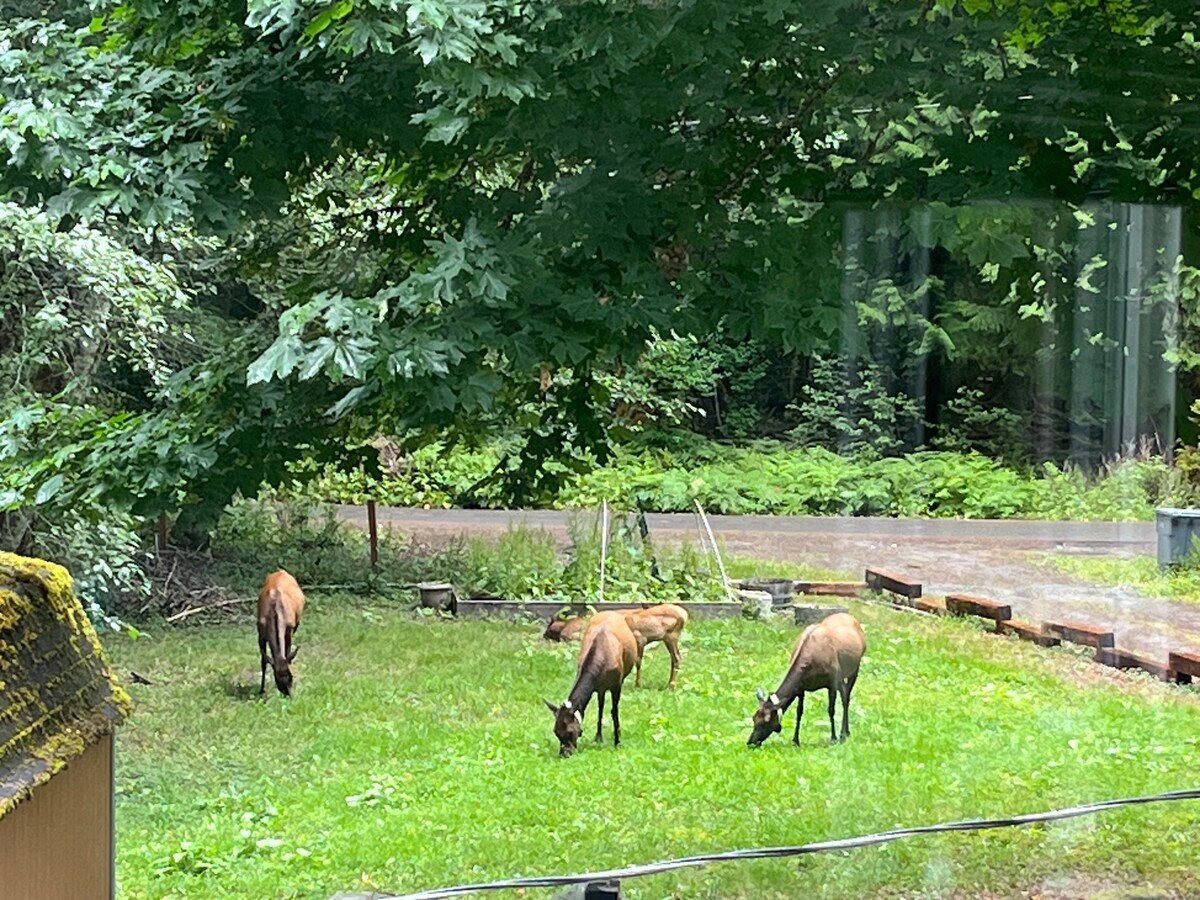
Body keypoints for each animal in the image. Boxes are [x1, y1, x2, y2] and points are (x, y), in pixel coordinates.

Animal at [542, 609, 638, 758]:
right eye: (556, 731)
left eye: (570, 731)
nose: (565, 753)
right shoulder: (598, 687)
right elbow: (600, 709)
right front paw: (598, 738)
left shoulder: (617, 684)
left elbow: (614, 711)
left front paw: (618, 742)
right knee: (601, 706)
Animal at [748, 609, 864, 748]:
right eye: (754, 718)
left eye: (766, 721)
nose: (750, 742)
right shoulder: (801, 688)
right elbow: (799, 712)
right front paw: (795, 740)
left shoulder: (832, 682)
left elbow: (831, 710)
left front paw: (833, 738)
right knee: (845, 694)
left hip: (854, 669)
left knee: (846, 699)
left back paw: (844, 734)